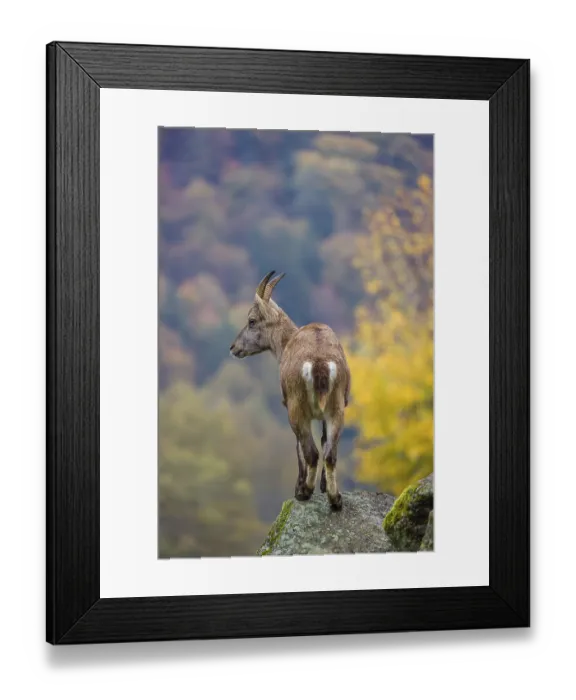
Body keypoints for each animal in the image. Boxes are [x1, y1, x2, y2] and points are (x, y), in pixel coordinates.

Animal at [229, 271, 351, 510]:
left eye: (251, 320)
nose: (234, 348)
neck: (286, 343)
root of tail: (320, 364)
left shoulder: (289, 405)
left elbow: (298, 448)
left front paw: (300, 487)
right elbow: (324, 440)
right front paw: (324, 488)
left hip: (297, 407)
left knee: (311, 452)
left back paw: (304, 492)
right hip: (337, 408)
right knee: (330, 453)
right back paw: (335, 499)